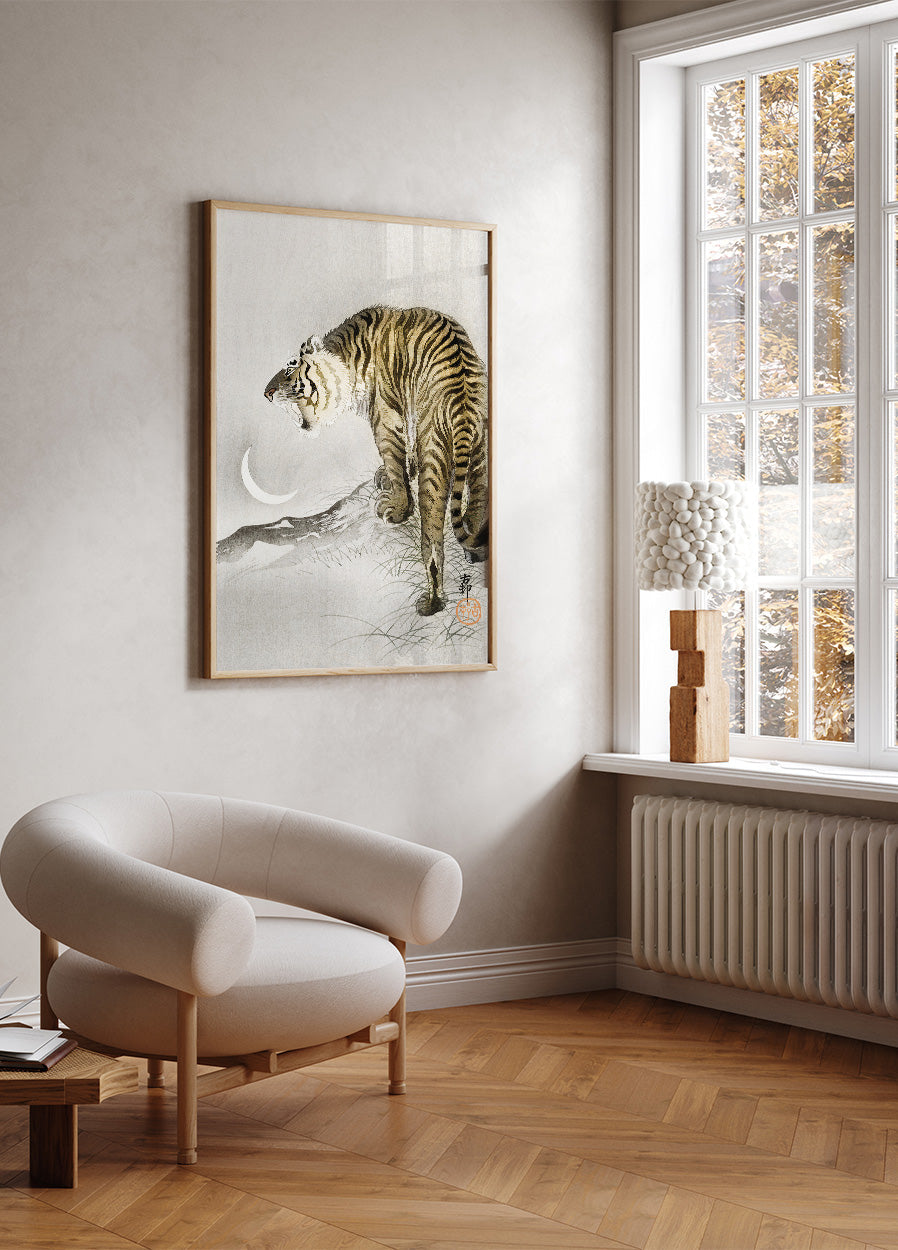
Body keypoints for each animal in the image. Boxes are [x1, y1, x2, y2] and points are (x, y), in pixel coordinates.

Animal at [263, 305, 488, 617]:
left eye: (289, 369)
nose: (267, 393)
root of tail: (464, 401)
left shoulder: (385, 417)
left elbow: (394, 459)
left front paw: (396, 507)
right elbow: (406, 453)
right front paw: (392, 475)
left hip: (436, 457)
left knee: (432, 542)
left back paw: (431, 602)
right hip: (481, 454)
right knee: (477, 505)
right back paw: (476, 549)